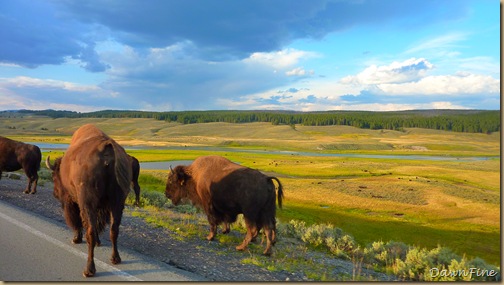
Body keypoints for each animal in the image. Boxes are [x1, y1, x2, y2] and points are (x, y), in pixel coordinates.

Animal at [45, 123, 132, 276]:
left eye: (54, 177)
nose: (55, 193)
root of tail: (107, 147)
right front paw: (98, 242)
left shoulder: (74, 201)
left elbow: (77, 220)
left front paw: (76, 239)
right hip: (117, 203)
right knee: (114, 229)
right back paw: (115, 258)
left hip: (89, 202)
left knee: (90, 230)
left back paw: (89, 269)